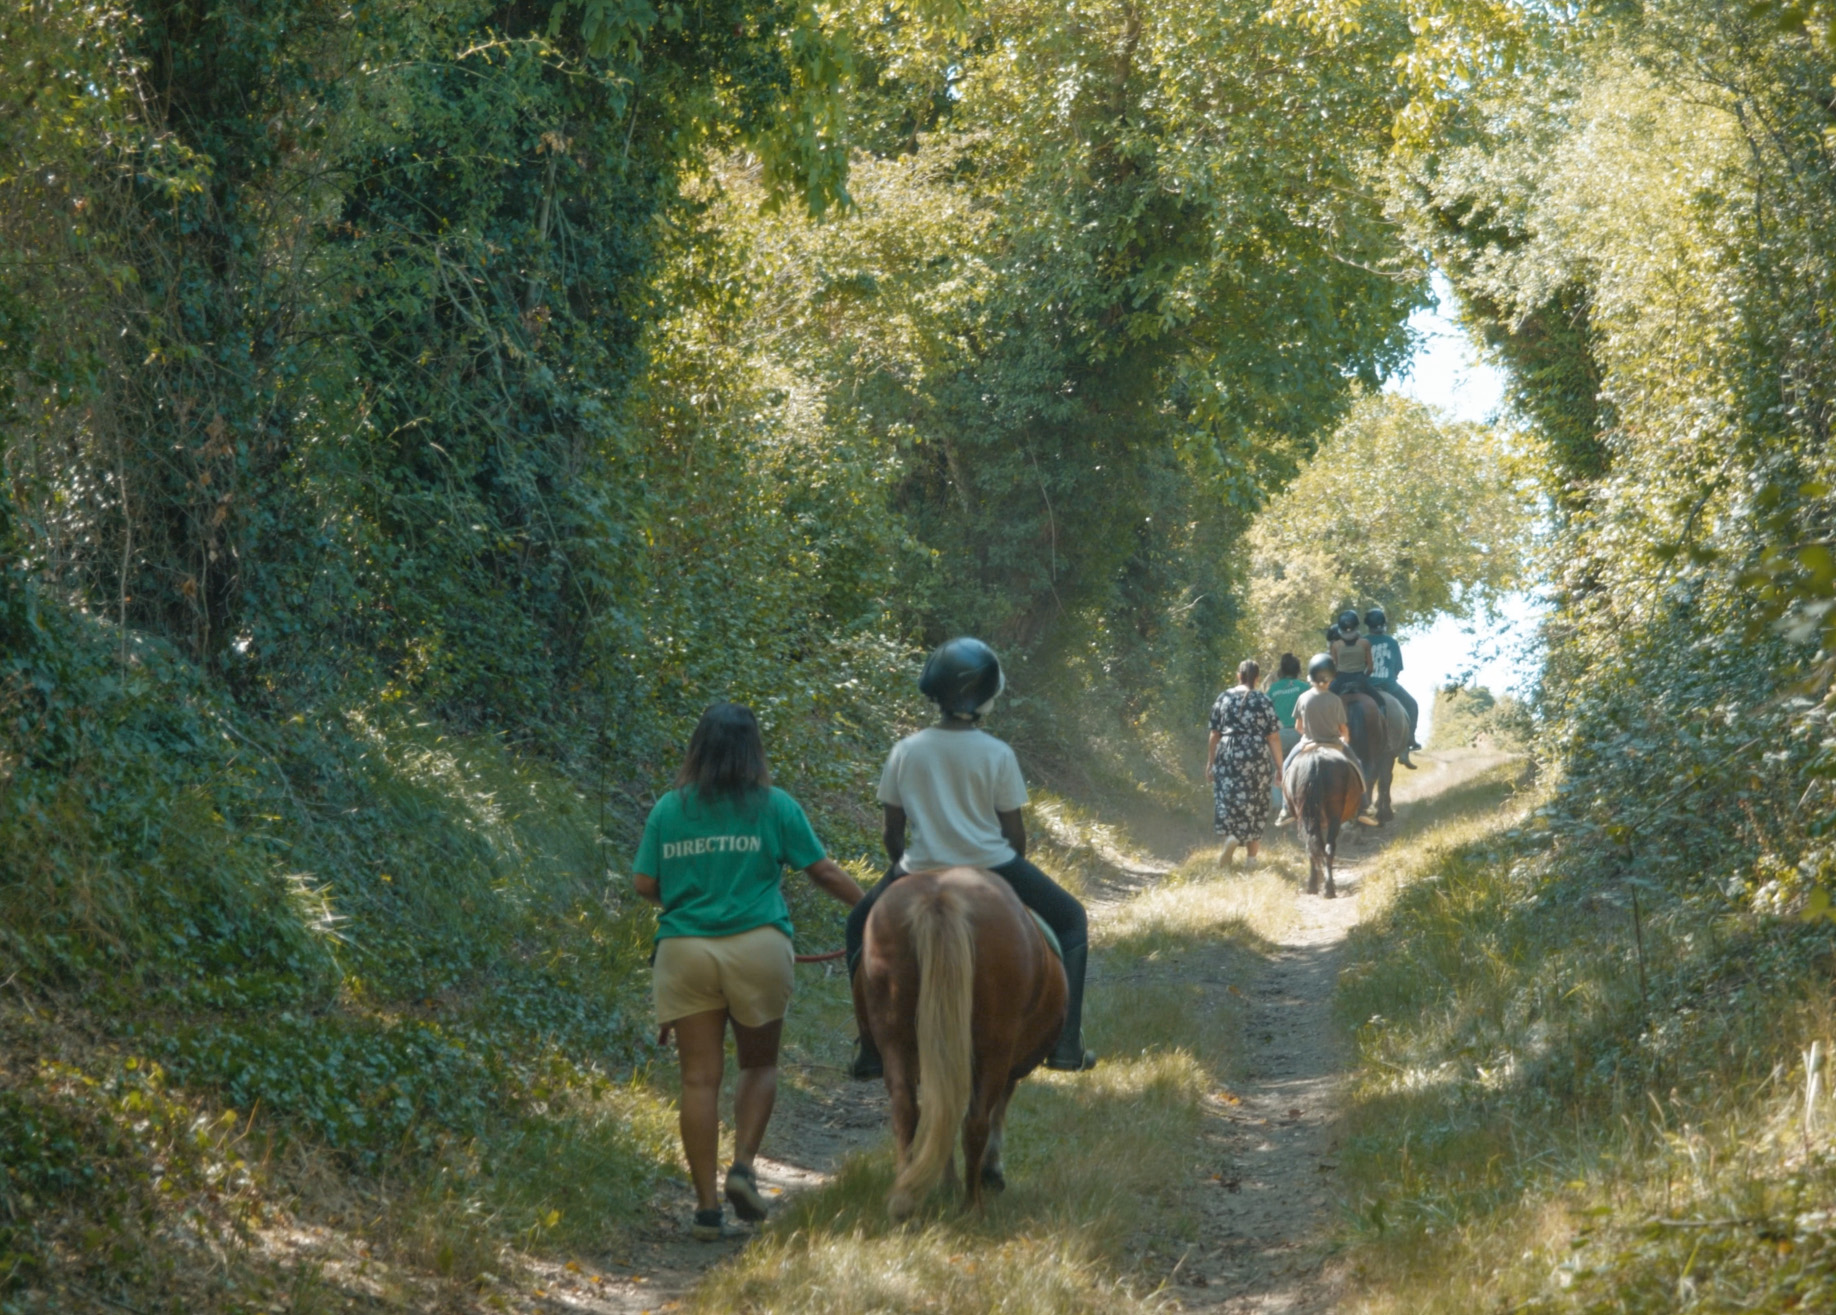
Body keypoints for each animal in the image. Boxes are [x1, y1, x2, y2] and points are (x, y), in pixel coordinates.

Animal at [851, 866, 1072, 1219]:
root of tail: (939, 898)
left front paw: (946, 1181)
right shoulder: (1006, 1061)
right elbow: (996, 1110)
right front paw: (990, 1173)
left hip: (896, 1038)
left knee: (908, 1111)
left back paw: (905, 1198)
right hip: (994, 1048)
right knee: (975, 1121)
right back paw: (972, 1206)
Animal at [1292, 745, 1365, 899]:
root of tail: (1315, 760)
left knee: (1319, 847)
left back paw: (1322, 887)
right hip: (1332, 816)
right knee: (1325, 848)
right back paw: (1327, 887)